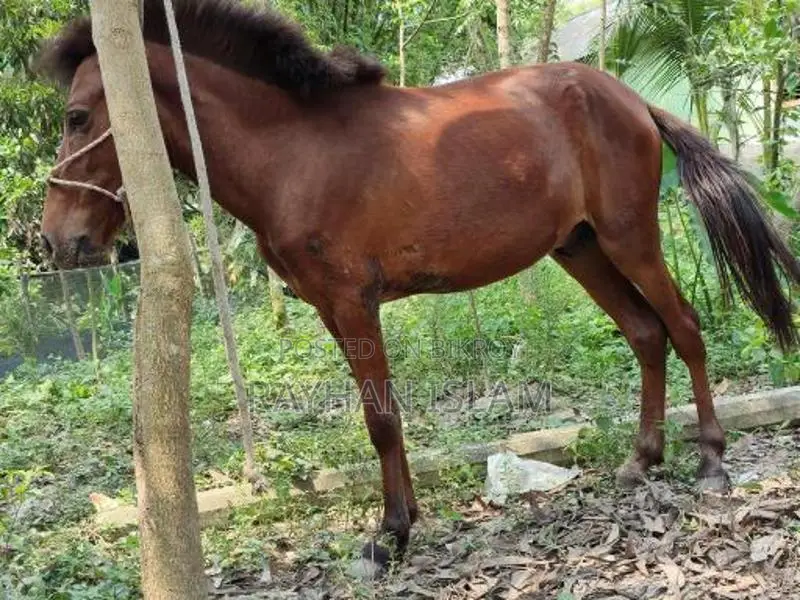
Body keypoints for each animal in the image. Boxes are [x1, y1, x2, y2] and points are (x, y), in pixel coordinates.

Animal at [36, 0, 800, 569]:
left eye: (77, 118)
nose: (56, 240)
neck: (292, 152)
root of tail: (633, 101)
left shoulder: (352, 302)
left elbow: (379, 419)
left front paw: (389, 535)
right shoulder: (333, 309)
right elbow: (385, 413)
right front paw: (402, 522)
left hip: (629, 238)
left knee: (685, 327)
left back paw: (711, 462)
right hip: (580, 249)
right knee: (645, 334)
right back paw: (641, 462)